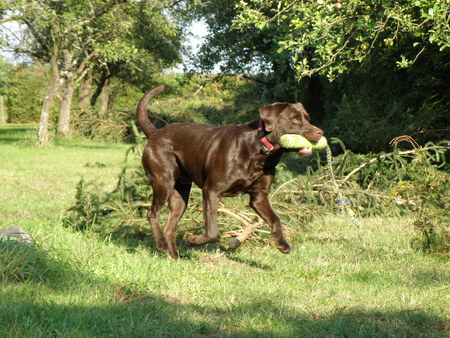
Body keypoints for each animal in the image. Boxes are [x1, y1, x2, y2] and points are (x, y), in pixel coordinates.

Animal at [136, 85, 324, 258]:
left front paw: (282, 244)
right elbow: (212, 232)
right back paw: (161, 245)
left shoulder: (259, 197)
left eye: (307, 118)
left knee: (170, 226)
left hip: (180, 193)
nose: (320, 132)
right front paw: (192, 241)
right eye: (295, 120)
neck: (261, 152)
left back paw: (175, 257)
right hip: (163, 181)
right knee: (152, 213)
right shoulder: (211, 191)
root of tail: (155, 132)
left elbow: (275, 219)